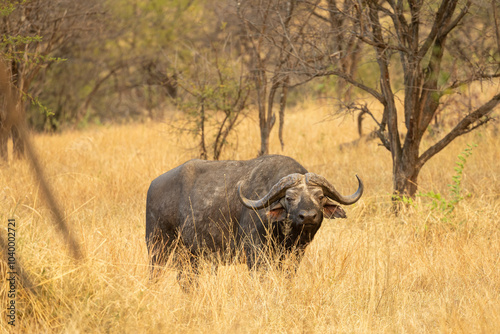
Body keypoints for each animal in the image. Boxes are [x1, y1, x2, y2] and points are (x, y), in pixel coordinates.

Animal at [146, 155, 364, 280]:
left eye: (319, 196)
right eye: (289, 198)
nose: (308, 216)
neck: (284, 234)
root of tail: (153, 186)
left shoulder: (295, 255)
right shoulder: (255, 255)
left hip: (189, 257)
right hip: (158, 248)